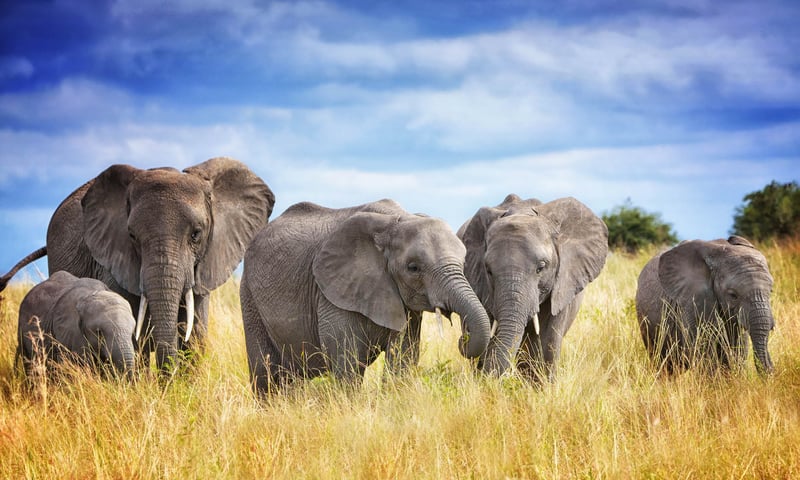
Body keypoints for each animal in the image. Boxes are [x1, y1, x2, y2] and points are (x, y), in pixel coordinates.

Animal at [240, 199, 492, 394]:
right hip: (249, 295)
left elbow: (403, 355)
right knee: (265, 373)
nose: (463, 339)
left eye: (464, 263)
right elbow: (348, 358)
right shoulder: (332, 291)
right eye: (413, 268)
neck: (397, 220)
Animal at [636, 235, 775, 375]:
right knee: (664, 363)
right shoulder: (693, 300)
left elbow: (737, 350)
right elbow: (704, 350)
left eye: (771, 291)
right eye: (733, 295)